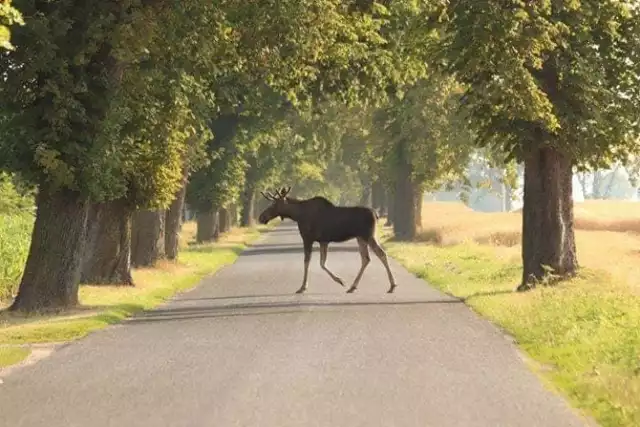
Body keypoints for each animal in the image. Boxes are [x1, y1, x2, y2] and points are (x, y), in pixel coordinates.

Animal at [258, 186, 398, 294]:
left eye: (274, 204)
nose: (261, 217)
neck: (297, 215)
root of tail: (376, 214)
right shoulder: (323, 241)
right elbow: (322, 263)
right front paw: (340, 280)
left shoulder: (307, 238)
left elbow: (307, 261)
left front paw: (303, 287)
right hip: (360, 238)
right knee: (366, 258)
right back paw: (353, 286)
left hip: (368, 235)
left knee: (381, 254)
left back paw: (392, 285)